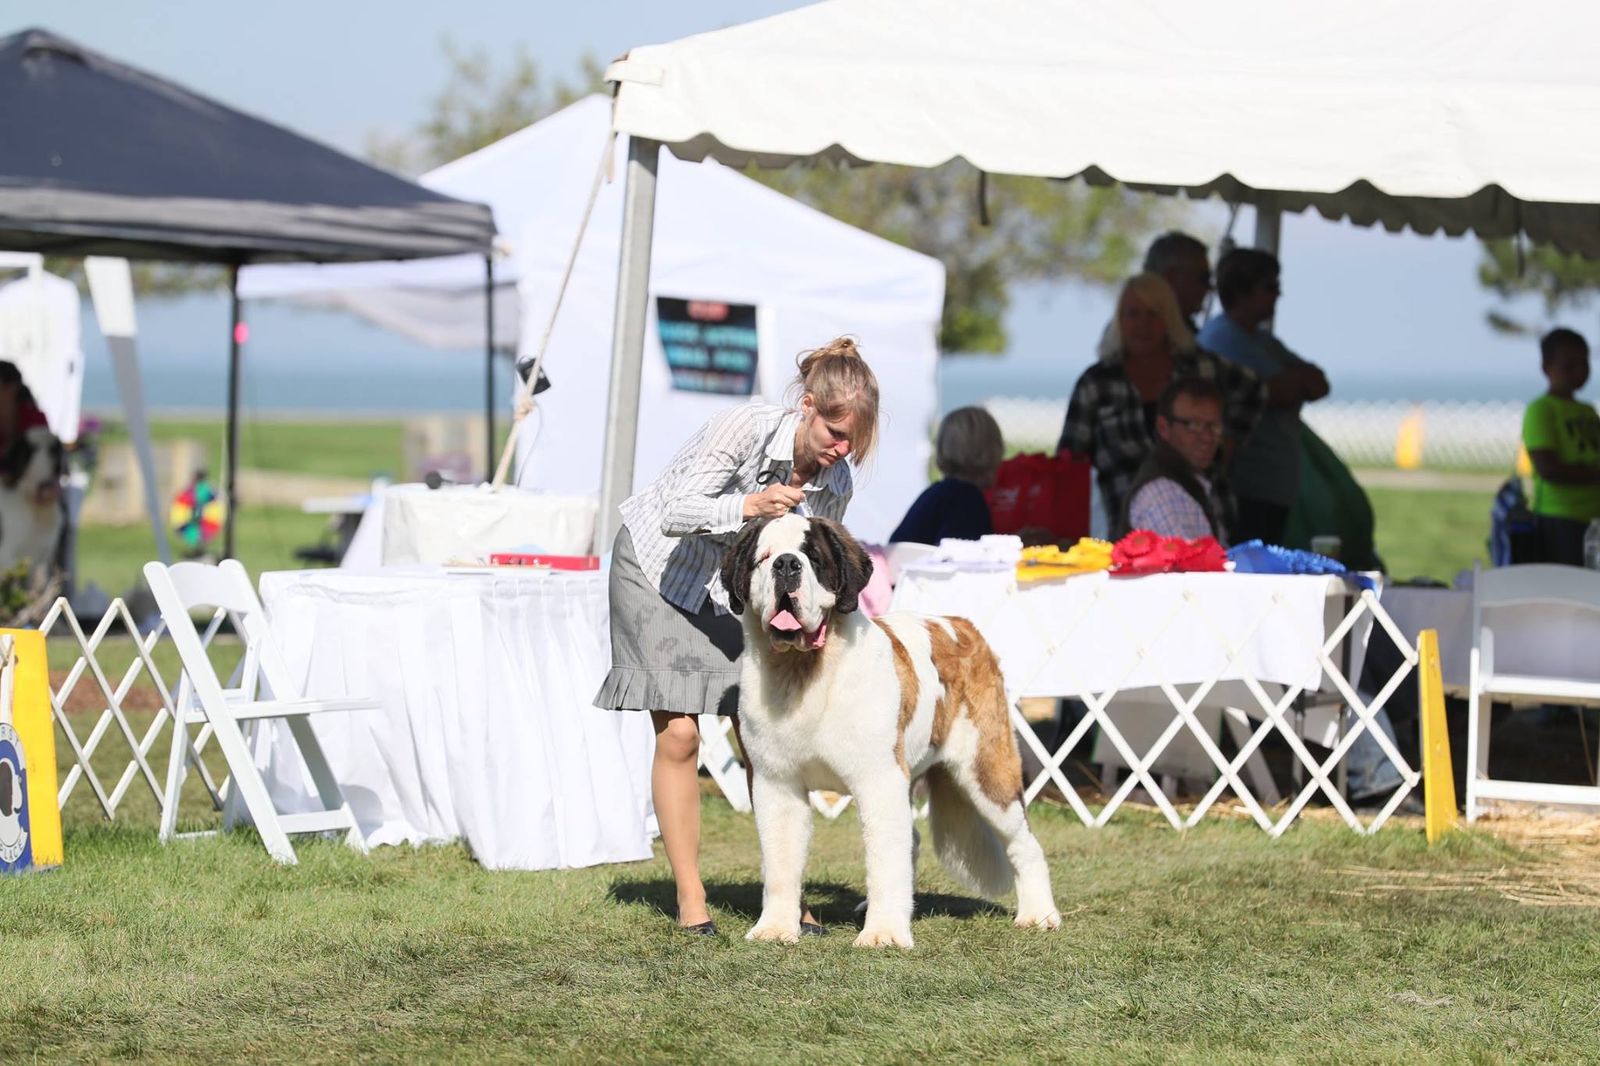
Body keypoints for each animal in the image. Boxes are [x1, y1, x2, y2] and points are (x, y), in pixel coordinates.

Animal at [719, 513, 1061, 949]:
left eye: (813, 559)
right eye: (763, 558)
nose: (786, 564)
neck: (805, 670)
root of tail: (963, 625)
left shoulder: (879, 780)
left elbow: (883, 859)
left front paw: (884, 933)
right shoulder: (776, 782)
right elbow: (781, 861)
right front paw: (776, 928)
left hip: (987, 771)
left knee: (1024, 843)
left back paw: (1039, 915)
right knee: (910, 841)